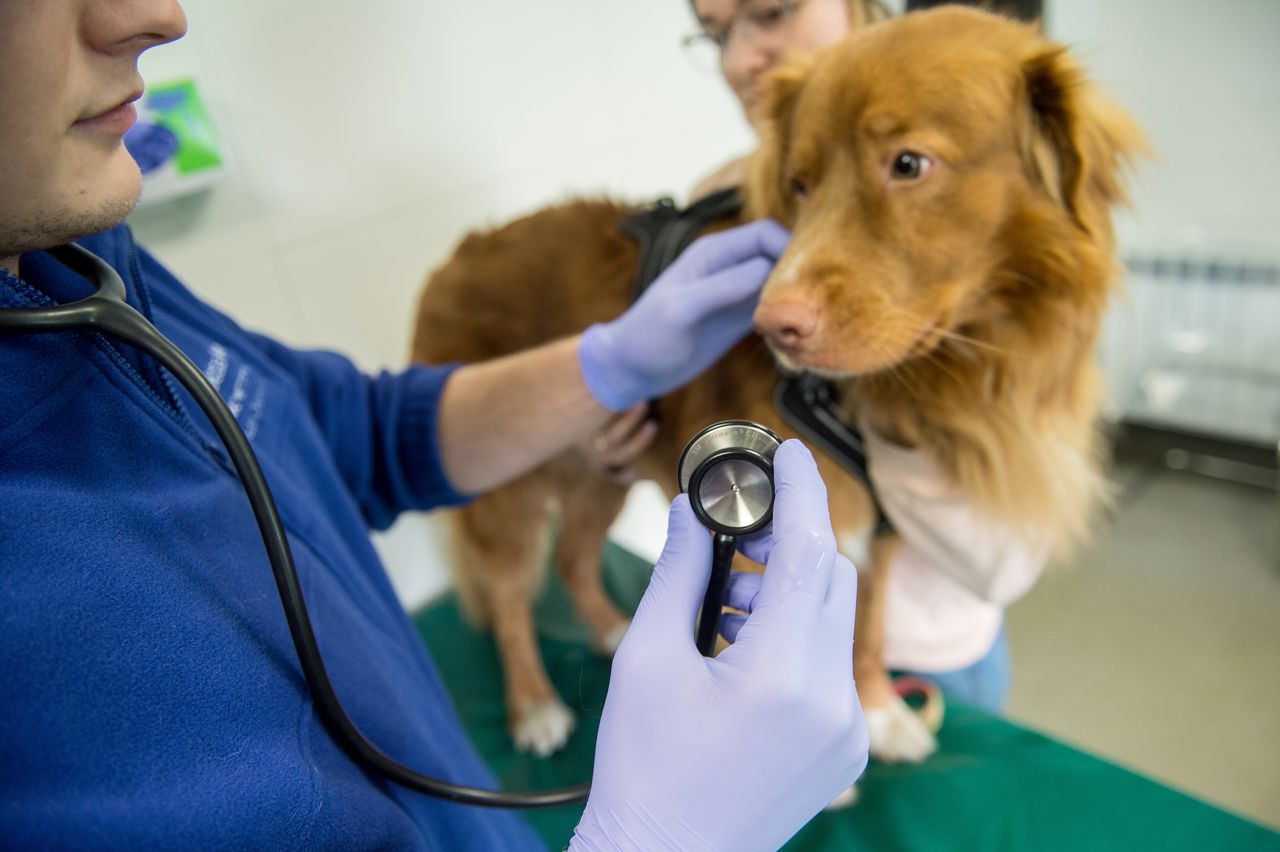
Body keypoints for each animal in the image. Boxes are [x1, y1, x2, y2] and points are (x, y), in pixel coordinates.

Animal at [407, 6, 1141, 757]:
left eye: (909, 164)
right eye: (799, 184)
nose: (773, 323)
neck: (922, 383)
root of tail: (456, 255)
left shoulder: (878, 531)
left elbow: (871, 629)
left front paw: (880, 712)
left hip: (599, 473)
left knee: (575, 559)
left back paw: (614, 631)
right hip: (507, 488)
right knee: (508, 593)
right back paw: (533, 703)